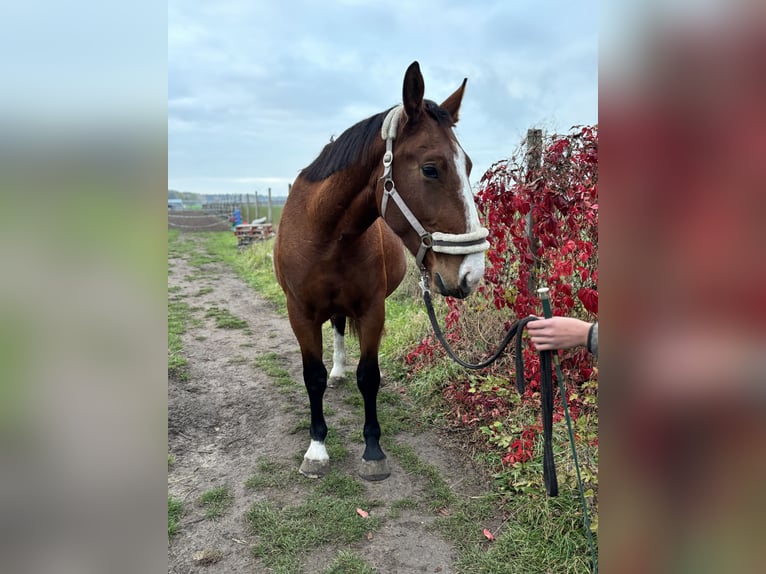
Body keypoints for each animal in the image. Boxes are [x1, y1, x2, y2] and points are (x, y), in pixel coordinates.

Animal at [276, 62, 488, 482]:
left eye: (469, 166)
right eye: (430, 169)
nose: (471, 273)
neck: (325, 234)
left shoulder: (373, 311)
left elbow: (368, 376)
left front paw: (373, 451)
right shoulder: (300, 315)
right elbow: (313, 378)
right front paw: (317, 448)